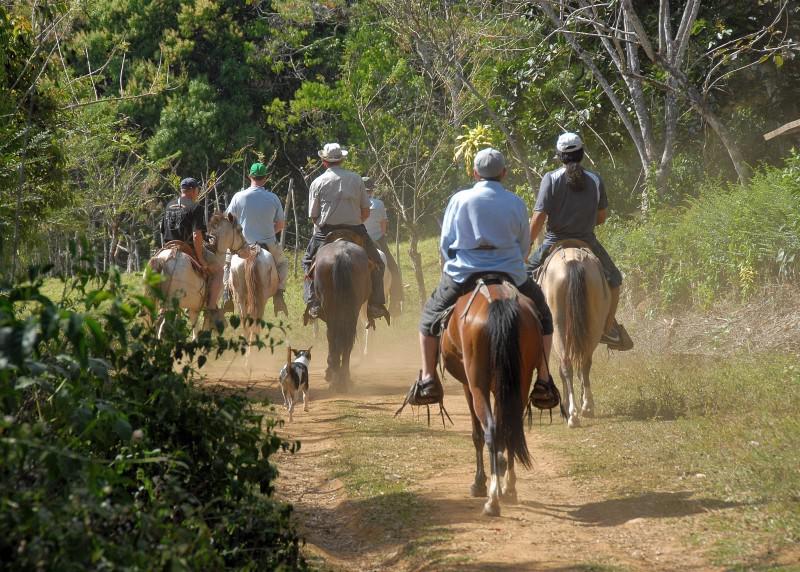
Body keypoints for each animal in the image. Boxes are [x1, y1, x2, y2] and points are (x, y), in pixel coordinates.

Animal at [313, 237, 372, 390]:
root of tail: (342, 255)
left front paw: (329, 371)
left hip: (331, 308)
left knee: (333, 336)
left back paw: (335, 378)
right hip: (353, 308)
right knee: (347, 339)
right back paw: (344, 378)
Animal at [440, 275, 544, 517]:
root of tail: (499, 303)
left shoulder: (468, 385)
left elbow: (477, 434)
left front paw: (479, 483)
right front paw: (502, 465)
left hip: (478, 384)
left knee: (490, 431)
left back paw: (492, 500)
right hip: (519, 382)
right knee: (510, 428)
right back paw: (509, 487)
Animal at [538, 244, 610, 428]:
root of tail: (573, 261)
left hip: (558, 325)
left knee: (567, 366)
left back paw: (573, 414)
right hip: (594, 323)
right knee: (585, 363)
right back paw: (587, 407)